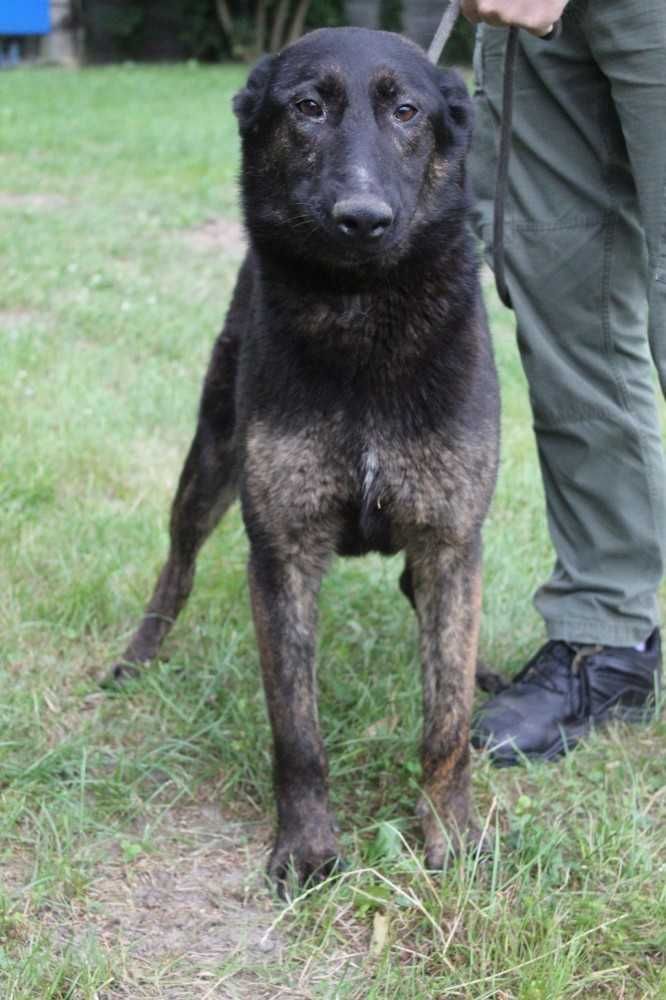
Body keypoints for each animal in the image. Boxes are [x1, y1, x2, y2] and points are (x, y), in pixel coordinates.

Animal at [106, 25, 498, 884]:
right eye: (308, 107)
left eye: (407, 111)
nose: (362, 217)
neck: (363, 314)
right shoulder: (280, 552)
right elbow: (297, 731)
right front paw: (308, 846)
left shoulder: (450, 540)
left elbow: (445, 720)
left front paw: (450, 834)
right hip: (209, 467)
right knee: (177, 565)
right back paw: (139, 653)